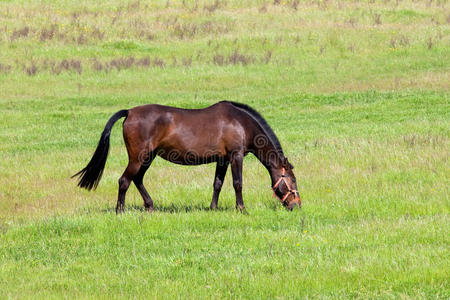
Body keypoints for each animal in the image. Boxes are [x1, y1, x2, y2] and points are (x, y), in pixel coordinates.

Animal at [72, 101, 300, 213]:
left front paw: (213, 208)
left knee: (137, 179)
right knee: (124, 180)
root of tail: (130, 112)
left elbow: (218, 184)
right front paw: (241, 209)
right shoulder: (236, 156)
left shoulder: (222, 159)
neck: (241, 123)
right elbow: (237, 183)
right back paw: (120, 211)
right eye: (292, 180)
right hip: (139, 157)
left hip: (148, 157)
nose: (296, 205)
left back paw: (150, 206)